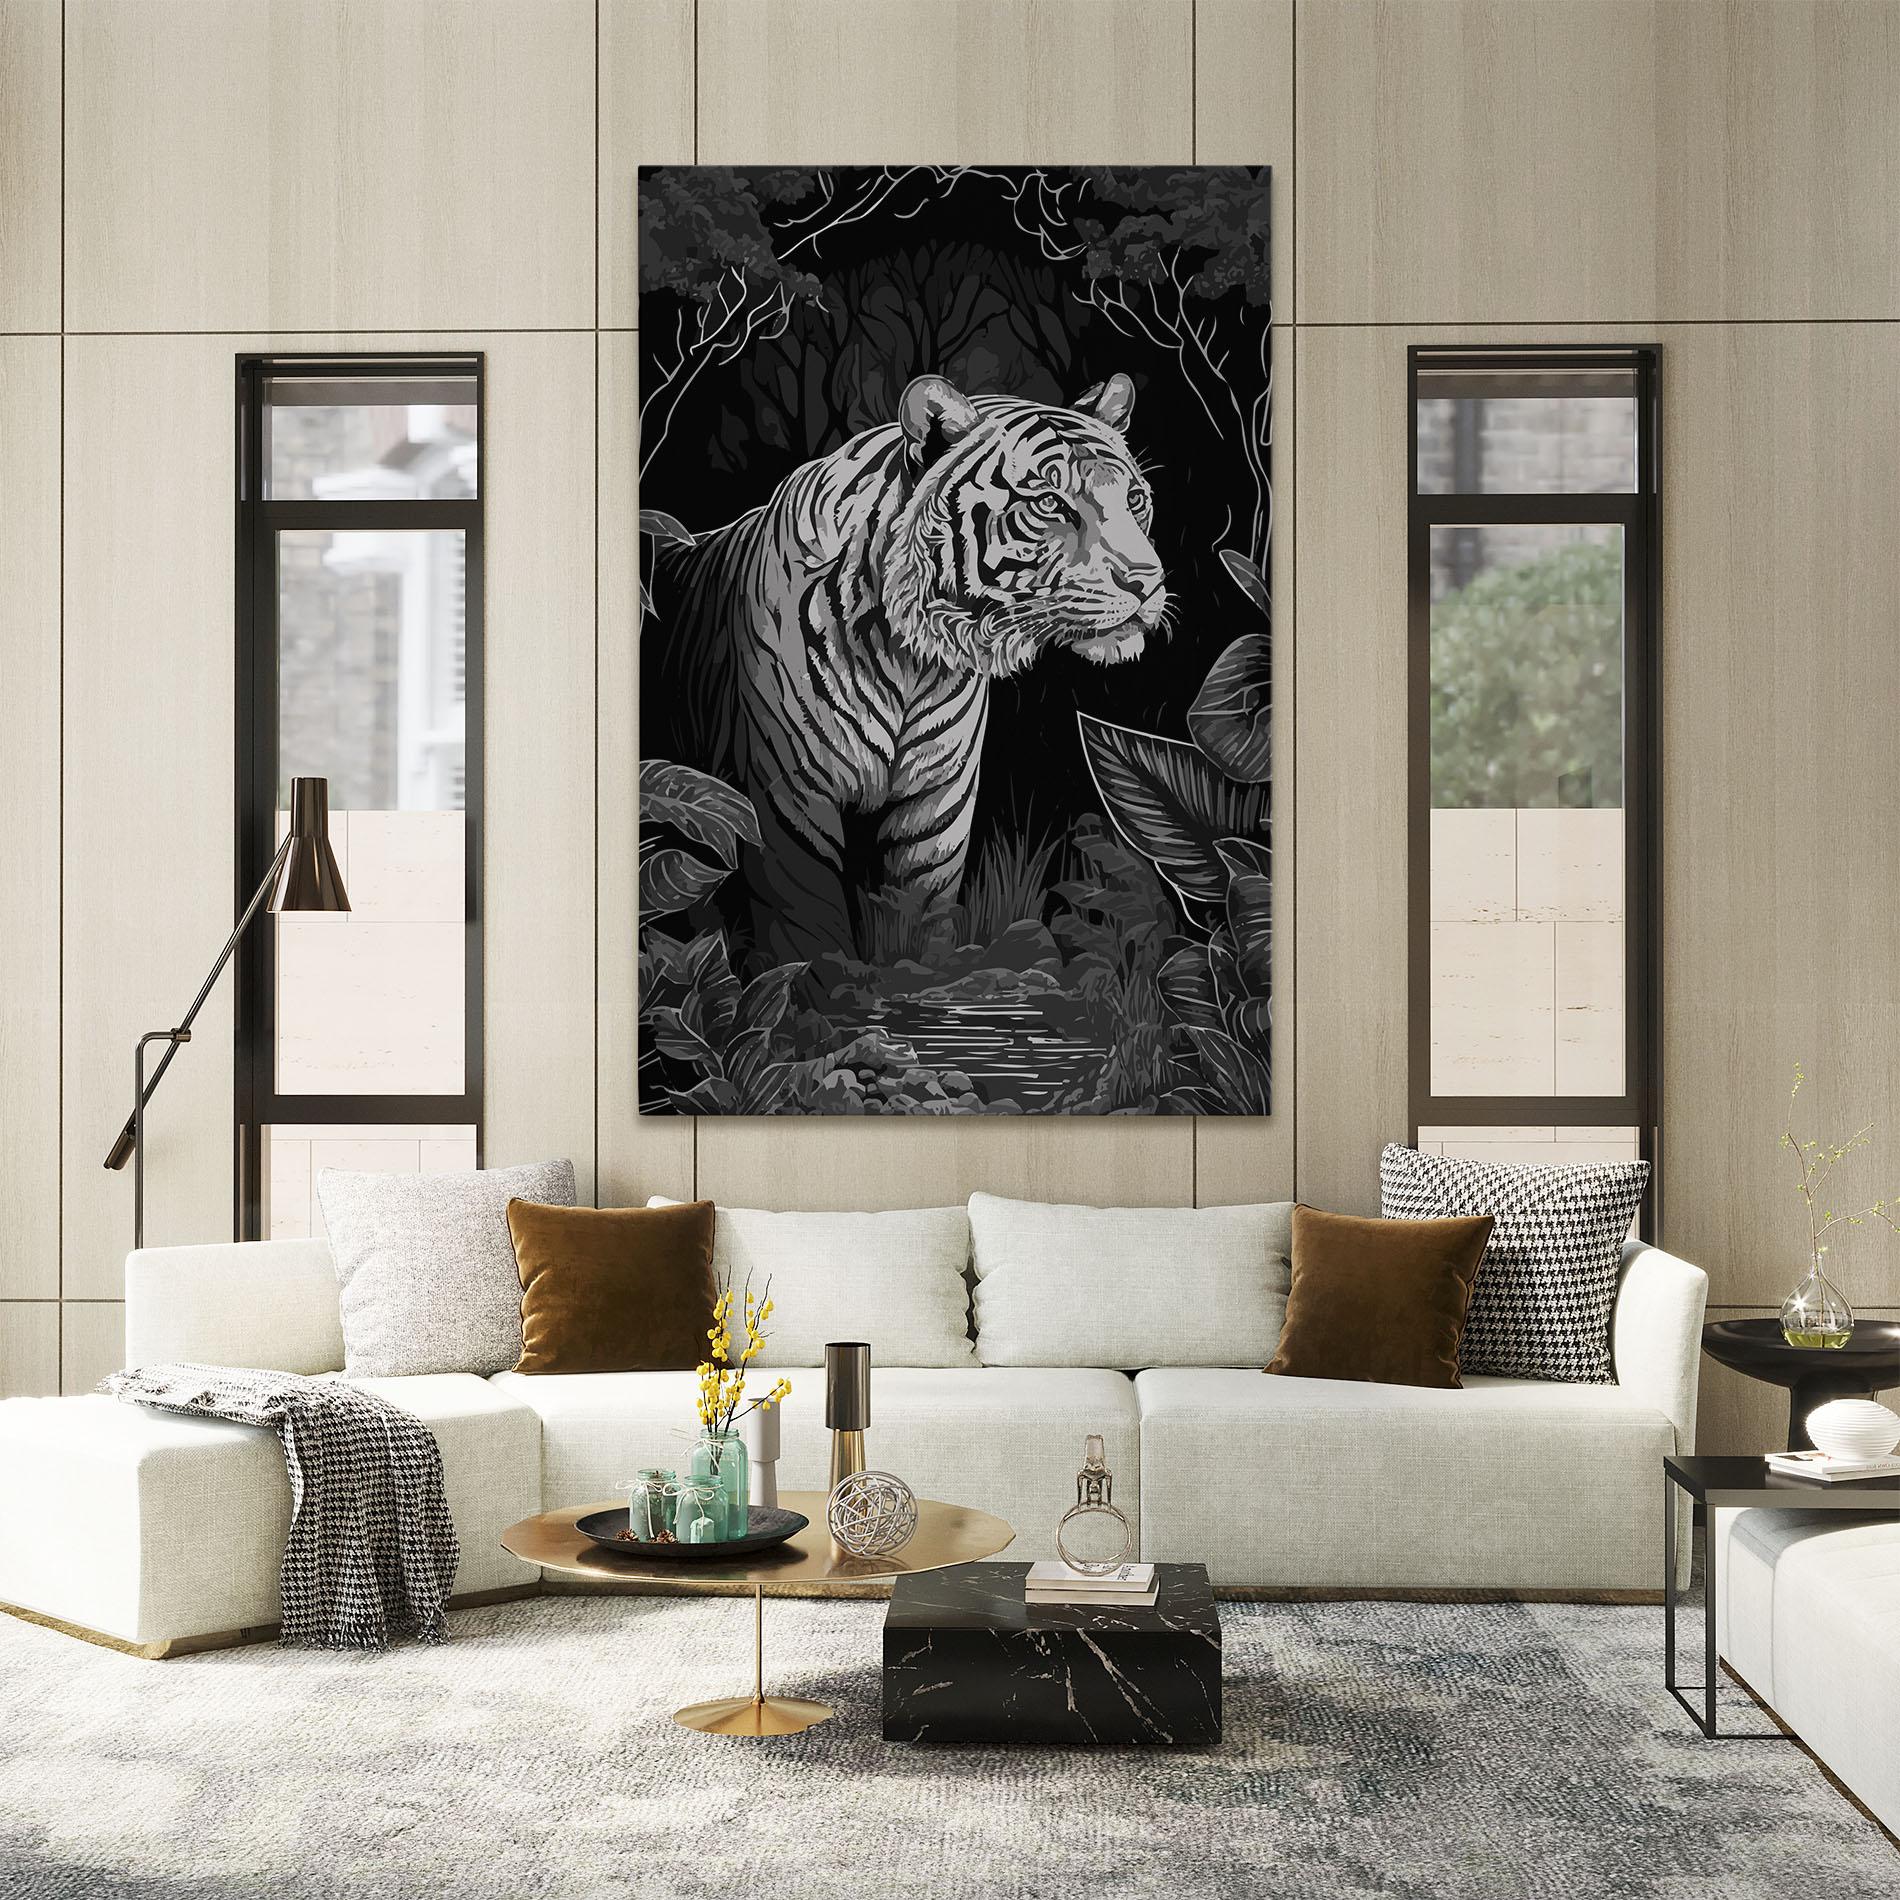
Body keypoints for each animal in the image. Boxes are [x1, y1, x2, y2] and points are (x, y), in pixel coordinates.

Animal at [648, 371, 1167, 965]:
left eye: (1134, 499)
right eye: (1050, 503)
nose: (1147, 581)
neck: (911, 663)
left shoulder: (936, 807)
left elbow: (919, 925)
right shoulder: (787, 803)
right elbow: (807, 936)